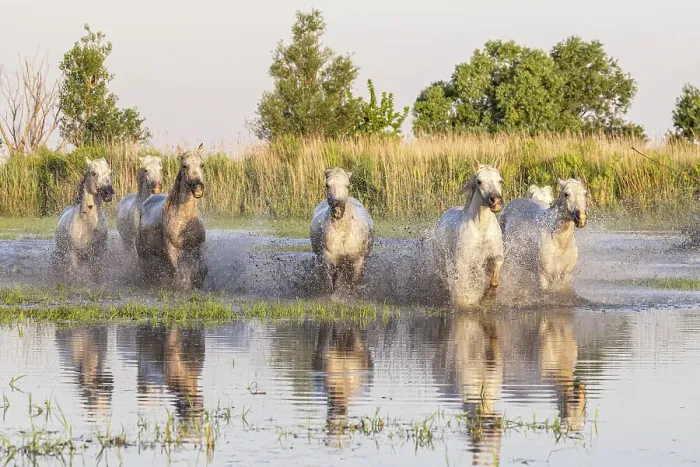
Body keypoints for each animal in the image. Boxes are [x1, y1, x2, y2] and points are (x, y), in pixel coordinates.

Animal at [137, 144, 207, 290]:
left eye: (202, 165)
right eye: (184, 166)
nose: (198, 187)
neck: (184, 217)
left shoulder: (197, 247)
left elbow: (201, 270)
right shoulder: (172, 249)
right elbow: (176, 271)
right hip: (143, 252)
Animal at [432, 163, 504, 308]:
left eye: (500, 181)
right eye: (479, 181)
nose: (496, 201)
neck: (481, 229)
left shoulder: (496, 255)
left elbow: (494, 280)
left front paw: (487, 298)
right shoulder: (463, 262)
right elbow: (463, 286)